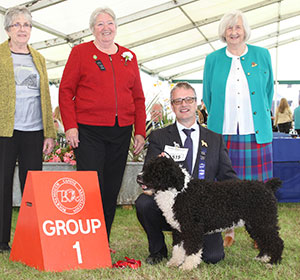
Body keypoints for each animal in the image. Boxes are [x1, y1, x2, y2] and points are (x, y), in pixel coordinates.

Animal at [137, 156, 284, 270]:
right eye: (147, 167)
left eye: (156, 171)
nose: (138, 177)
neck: (179, 192)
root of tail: (267, 186)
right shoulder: (178, 230)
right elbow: (178, 249)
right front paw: (174, 263)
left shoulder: (192, 228)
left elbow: (192, 249)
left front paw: (187, 266)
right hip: (255, 224)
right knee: (264, 241)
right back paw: (263, 258)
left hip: (263, 222)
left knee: (277, 242)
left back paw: (273, 263)